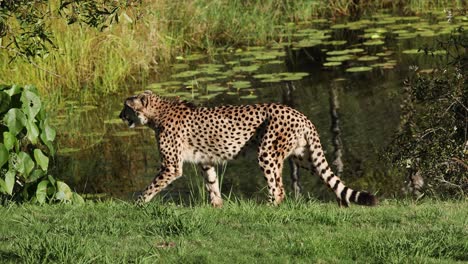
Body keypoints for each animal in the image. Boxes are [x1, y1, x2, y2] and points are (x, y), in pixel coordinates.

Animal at [119, 92, 378, 207]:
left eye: (126, 107)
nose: (120, 115)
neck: (157, 113)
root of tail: (298, 113)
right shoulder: (206, 161)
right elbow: (212, 183)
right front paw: (217, 207)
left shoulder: (171, 166)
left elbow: (152, 186)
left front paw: (138, 204)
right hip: (303, 156)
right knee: (328, 176)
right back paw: (342, 204)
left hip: (267, 153)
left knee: (279, 189)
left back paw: (269, 208)